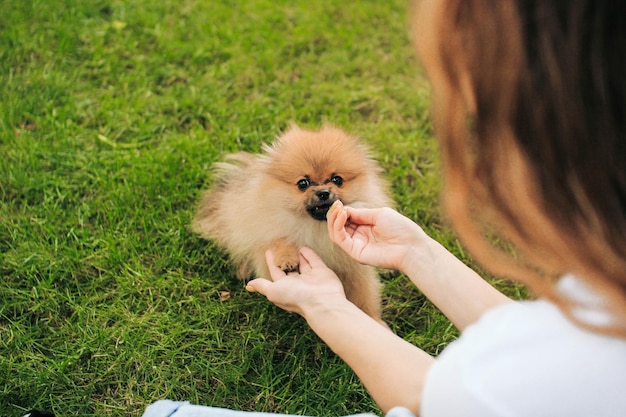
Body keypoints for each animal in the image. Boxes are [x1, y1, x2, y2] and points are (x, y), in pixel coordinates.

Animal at [193, 125, 392, 320]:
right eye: (303, 183)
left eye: (337, 179)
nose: (323, 192)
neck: (315, 227)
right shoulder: (269, 229)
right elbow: (280, 240)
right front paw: (287, 258)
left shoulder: (355, 271)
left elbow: (364, 297)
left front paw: (375, 320)